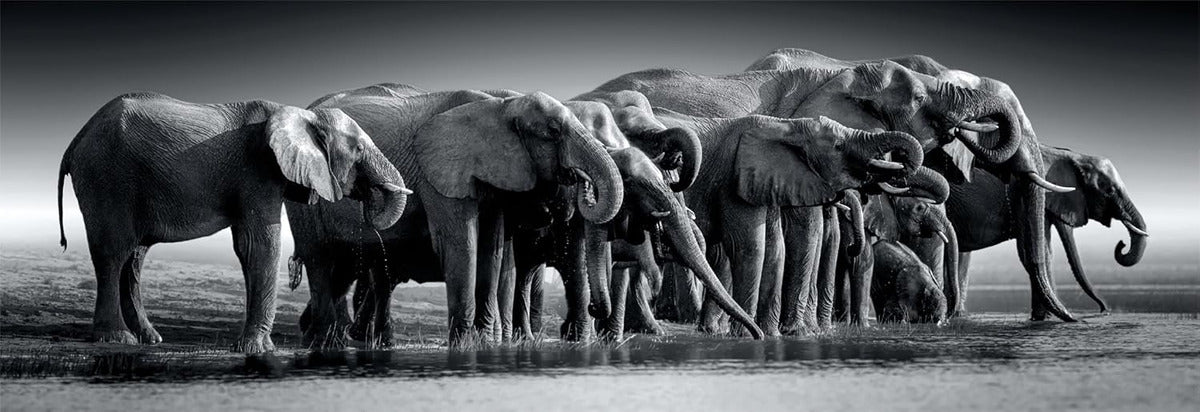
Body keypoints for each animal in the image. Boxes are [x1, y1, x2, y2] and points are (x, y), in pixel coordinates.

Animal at [56, 92, 409, 352]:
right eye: (359, 149)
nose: (370, 199)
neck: (299, 114)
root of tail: (76, 139)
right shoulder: (259, 171)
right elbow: (262, 246)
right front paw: (259, 350)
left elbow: (246, 249)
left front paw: (250, 347)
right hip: (106, 177)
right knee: (114, 252)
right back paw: (118, 339)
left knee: (134, 259)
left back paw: (150, 338)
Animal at [287, 89, 626, 347]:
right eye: (553, 132)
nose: (583, 184)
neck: (499, 106)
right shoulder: (439, 175)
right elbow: (462, 246)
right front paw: (464, 346)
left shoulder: (495, 182)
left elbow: (494, 251)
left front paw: (487, 343)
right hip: (305, 189)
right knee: (320, 259)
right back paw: (324, 341)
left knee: (348, 269)